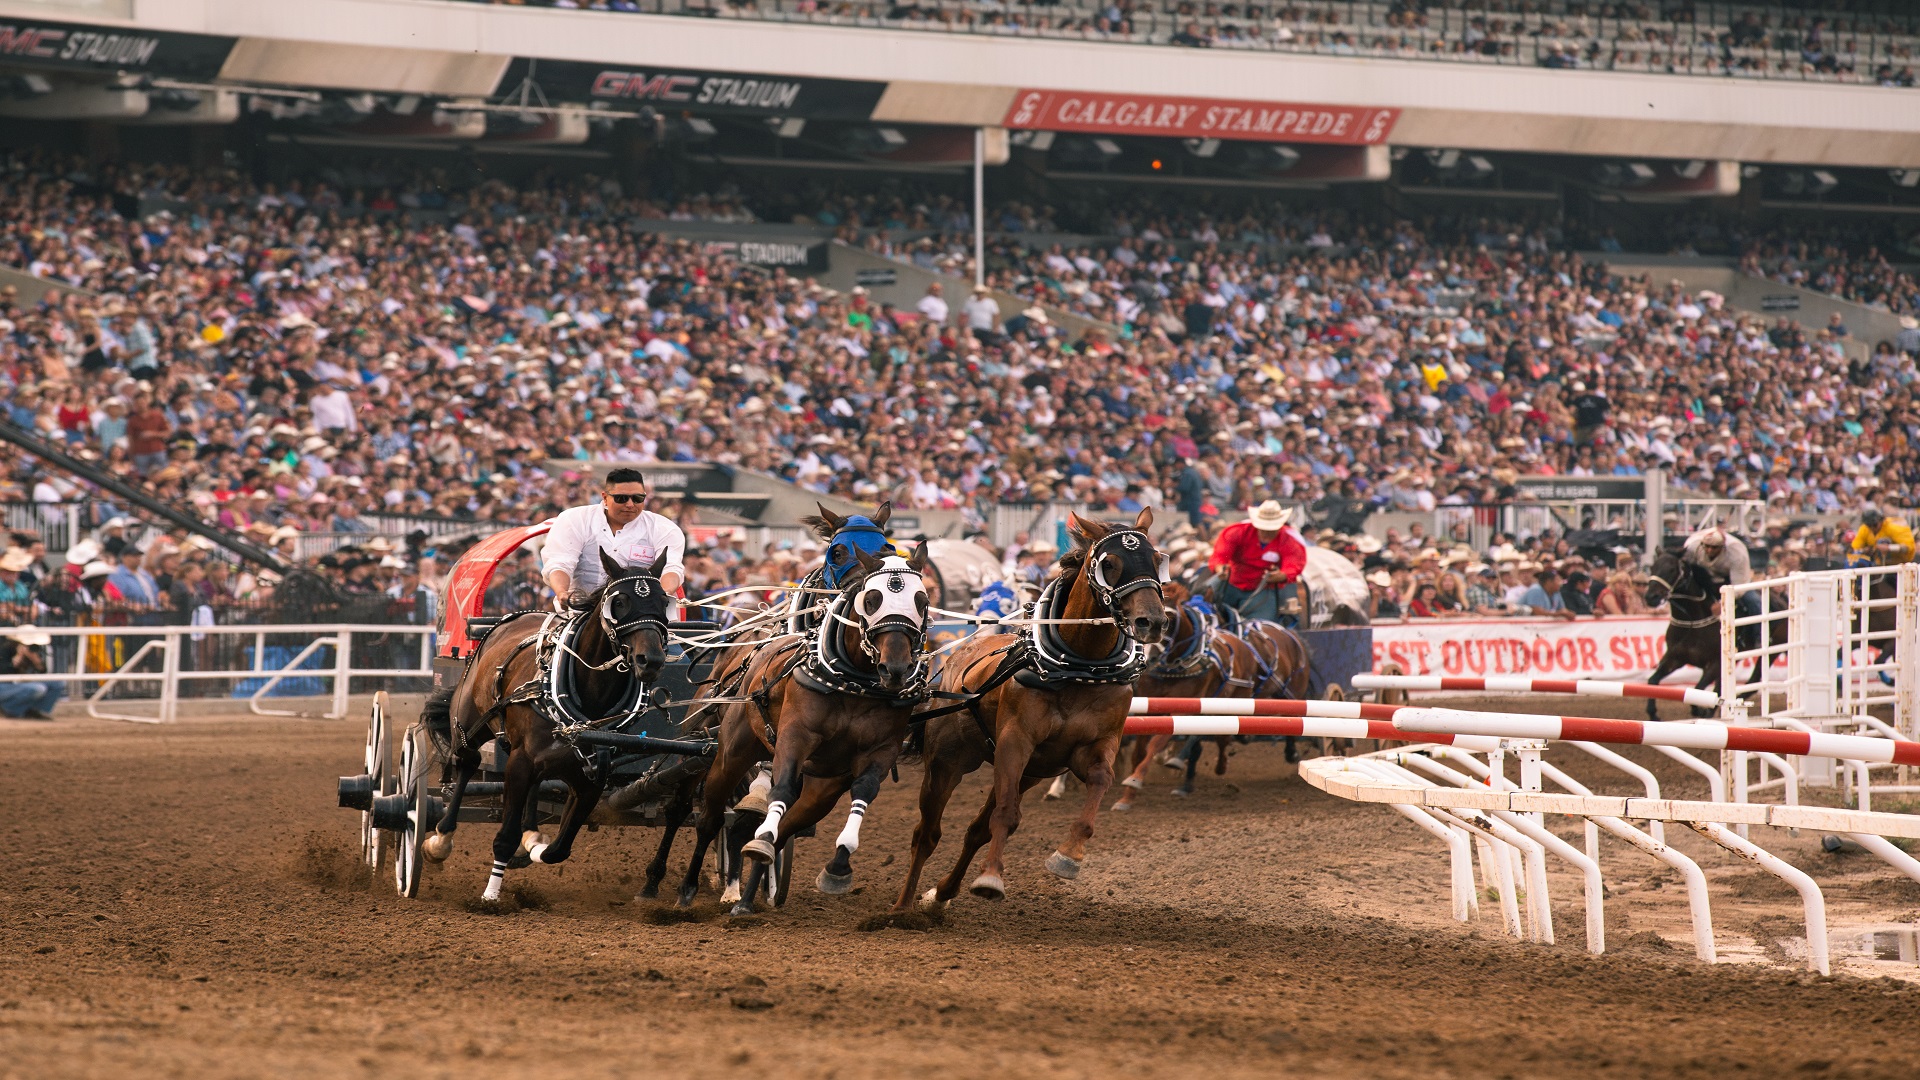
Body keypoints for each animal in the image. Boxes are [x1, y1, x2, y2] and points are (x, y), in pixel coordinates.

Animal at [424, 545, 672, 899]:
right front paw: (490, 895)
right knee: (465, 766)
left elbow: (559, 849)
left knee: (534, 786)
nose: (650, 660)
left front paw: (532, 850)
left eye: (664, 601)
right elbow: (504, 837)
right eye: (619, 602)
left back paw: (530, 835)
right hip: (469, 727)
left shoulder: (592, 778)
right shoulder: (518, 763)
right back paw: (440, 840)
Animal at [679, 545, 933, 907]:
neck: (853, 684)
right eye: (872, 599)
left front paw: (838, 867)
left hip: (820, 789)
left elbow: (864, 792)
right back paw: (686, 888)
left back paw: (745, 899)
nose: (896, 668)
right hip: (732, 752)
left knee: (782, 829)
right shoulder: (795, 736)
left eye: (922, 601)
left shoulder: (881, 751)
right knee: (710, 819)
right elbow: (781, 789)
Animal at [883, 507, 1167, 907]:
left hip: (1028, 771)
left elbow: (1100, 780)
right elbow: (1005, 815)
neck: (1078, 668)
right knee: (927, 833)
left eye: (1157, 560)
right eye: (1110, 563)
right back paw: (904, 904)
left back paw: (942, 894)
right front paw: (990, 878)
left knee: (975, 830)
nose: (1152, 621)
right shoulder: (1014, 742)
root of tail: (959, 655)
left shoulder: (1093, 745)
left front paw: (1068, 856)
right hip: (948, 761)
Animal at [1121, 580, 1267, 807]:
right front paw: (1126, 797)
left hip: (1235, 702)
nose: (1149, 658)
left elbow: (1156, 743)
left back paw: (1216, 765)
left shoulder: (1182, 710)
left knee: (1222, 737)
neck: (1173, 666)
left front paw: (1135, 779)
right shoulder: (1150, 709)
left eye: (1169, 621)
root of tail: (1243, 644)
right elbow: (1139, 751)